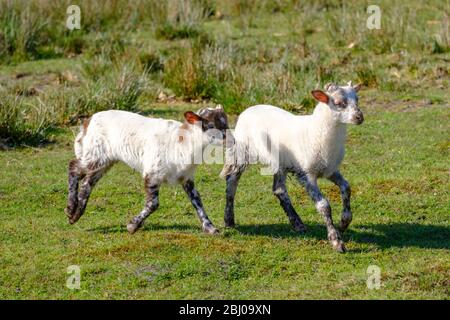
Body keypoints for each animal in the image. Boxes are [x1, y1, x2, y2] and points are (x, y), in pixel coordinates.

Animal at [223, 82, 364, 252]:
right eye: (338, 103)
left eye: (357, 99)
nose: (359, 117)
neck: (316, 131)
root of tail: (248, 109)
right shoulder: (306, 174)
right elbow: (324, 206)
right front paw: (336, 241)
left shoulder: (330, 171)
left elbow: (346, 188)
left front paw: (344, 222)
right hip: (242, 152)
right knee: (231, 183)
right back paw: (229, 220)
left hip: (280, 164)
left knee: (279, 190)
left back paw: (297, 223)